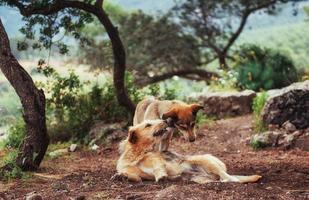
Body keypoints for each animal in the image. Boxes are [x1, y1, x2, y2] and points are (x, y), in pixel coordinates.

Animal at [115, 119, 260, 184]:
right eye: (148, 125)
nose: (166, 120)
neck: (138, 153)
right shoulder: (137, 174)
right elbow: (134, 176)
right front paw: (122, 176)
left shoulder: (156, 161)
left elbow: (157, 168)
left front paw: (161, 176)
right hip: (199, 179)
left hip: (205, 161)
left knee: (231, 178)